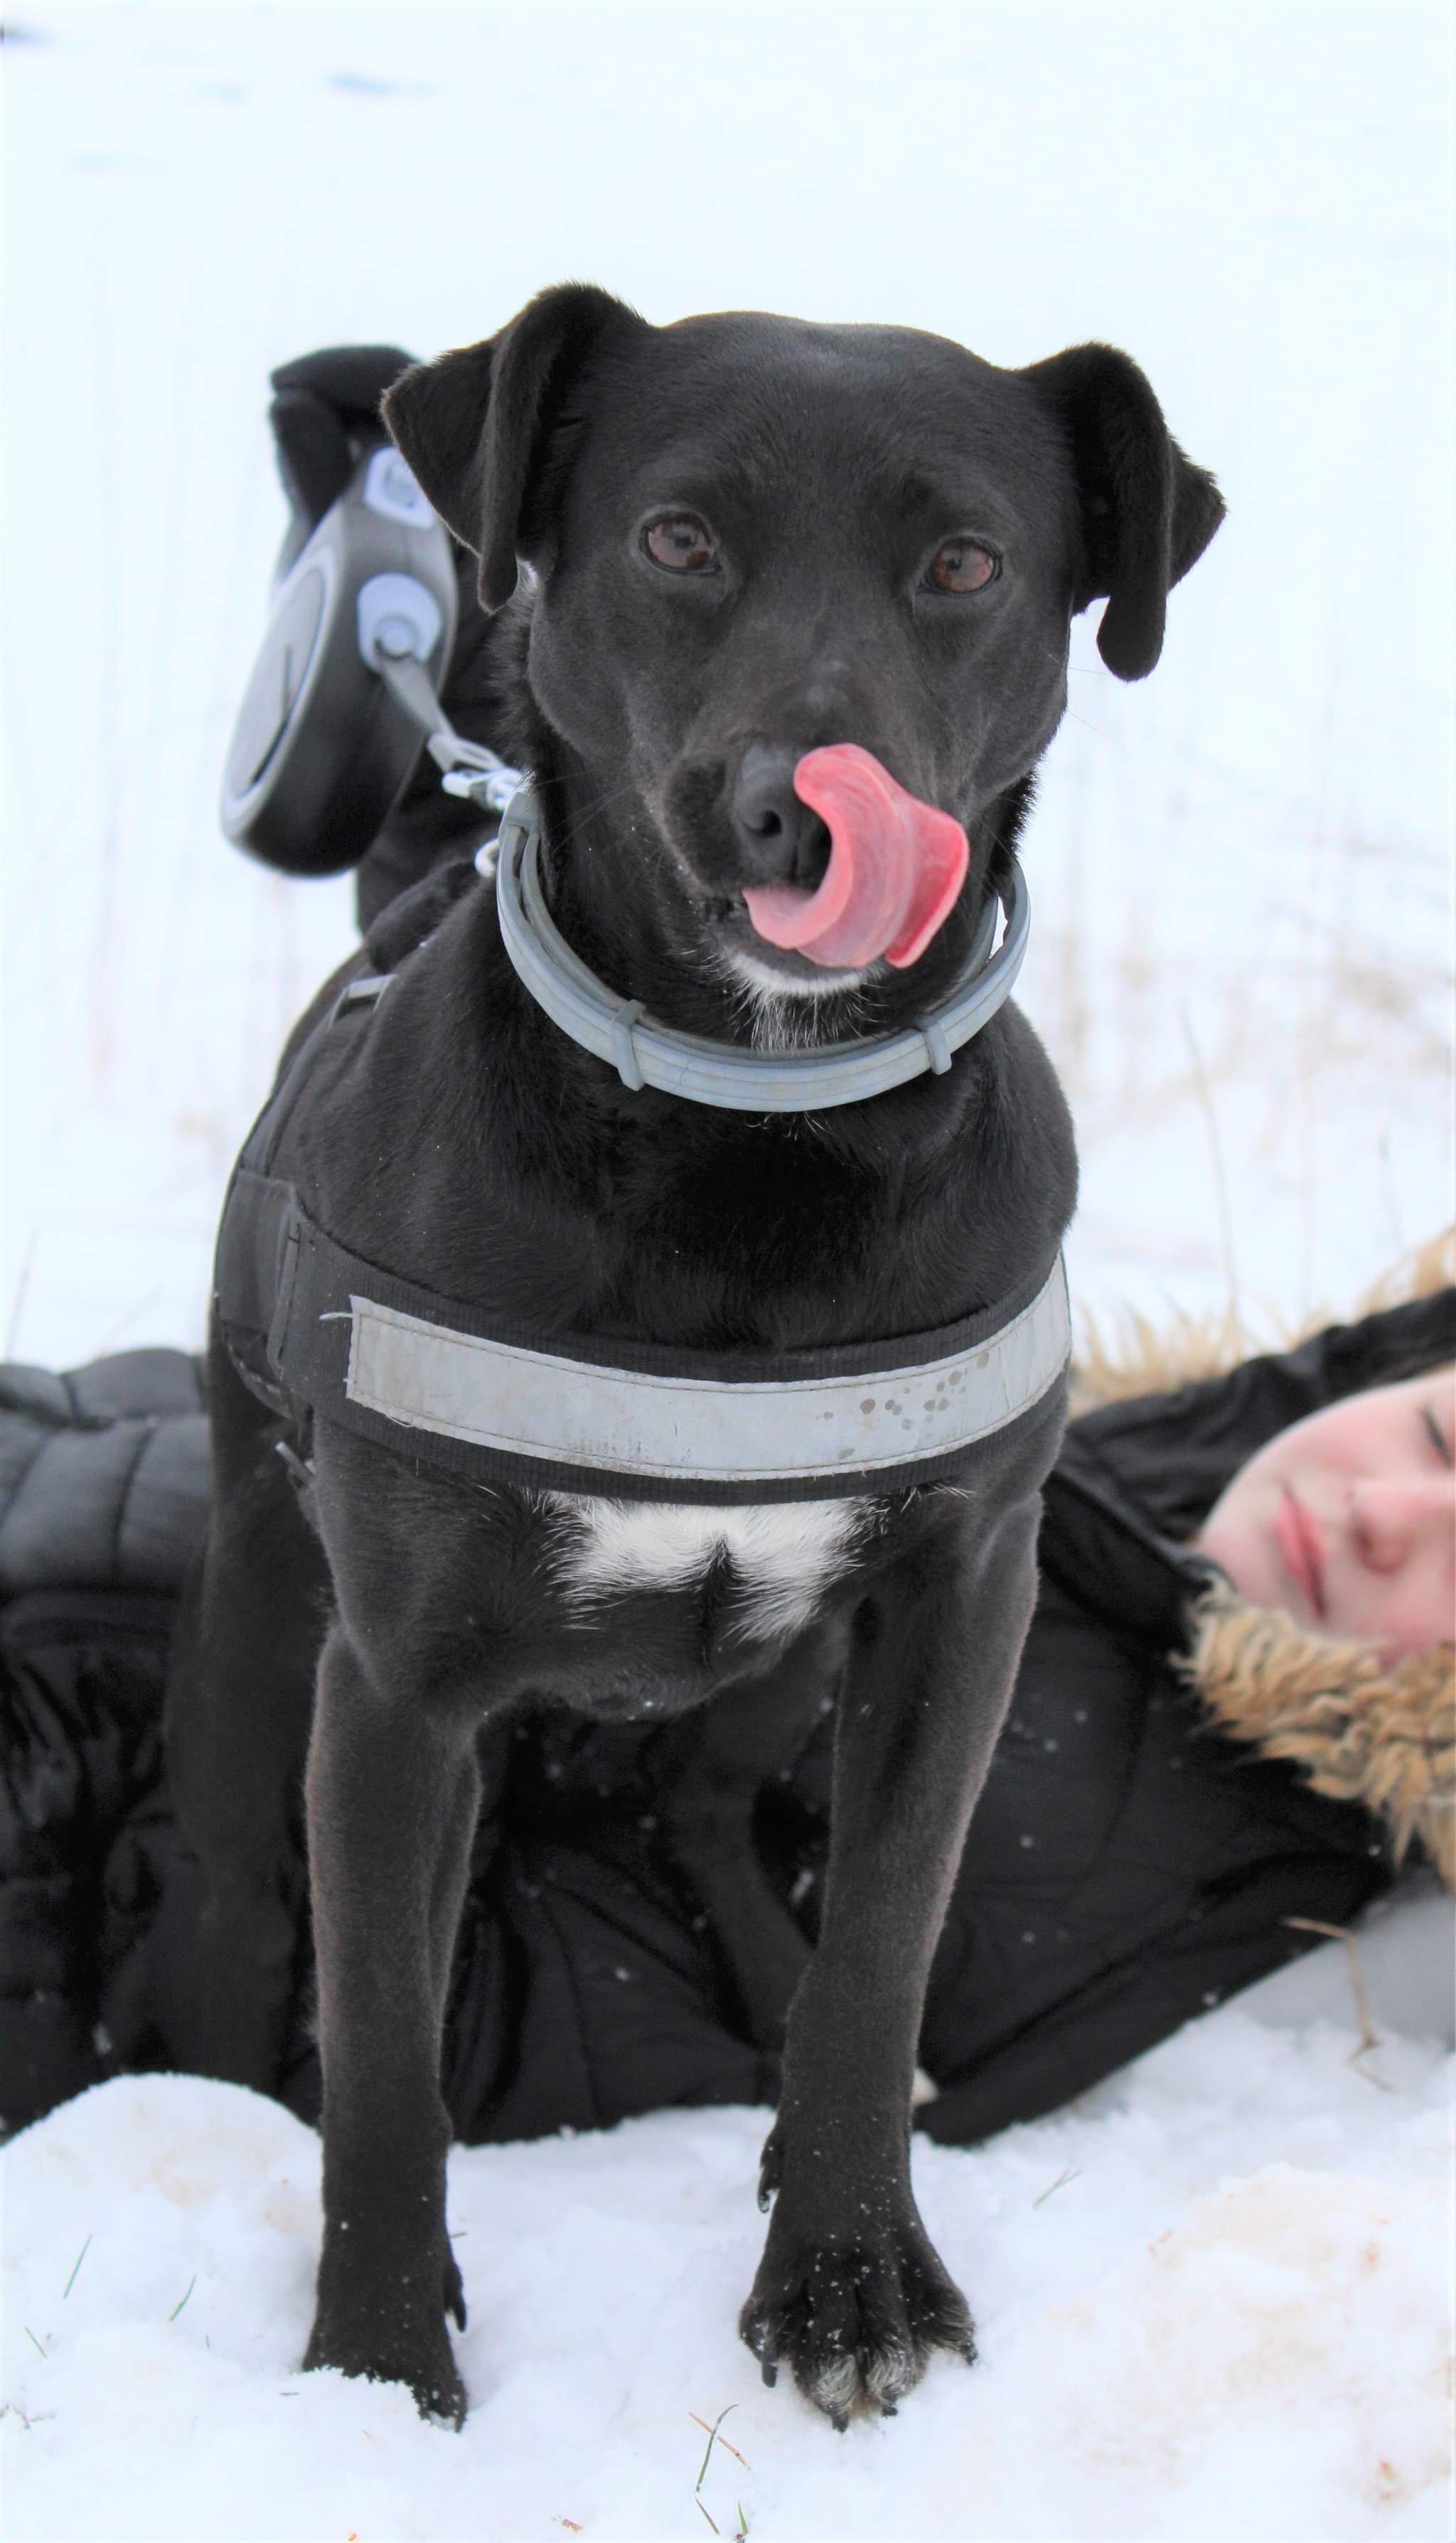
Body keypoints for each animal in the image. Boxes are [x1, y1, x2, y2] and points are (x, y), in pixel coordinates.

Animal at [165, 288, 1219, 2431]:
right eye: (676, 540)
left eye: (965, 565)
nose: (804, 809)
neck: (751, 1133)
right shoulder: (394, 1688)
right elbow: (384, 2054)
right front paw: (377, 2366)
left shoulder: (954, 1603)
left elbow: (877, 1944)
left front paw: (845, 2271)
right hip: (263, 1585)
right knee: (245, 1864)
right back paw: (231, 2070)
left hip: (781, 1662)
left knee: (709, 1813)